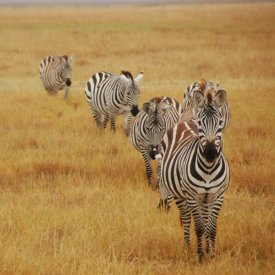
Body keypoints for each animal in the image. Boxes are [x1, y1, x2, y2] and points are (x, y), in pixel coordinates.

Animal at [161, 88, 232, 264]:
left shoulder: (218, 196)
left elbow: (211, 228)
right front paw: (200, 257)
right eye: (201, 124)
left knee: (205, 219)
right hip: (181, 195)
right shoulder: (192, 196)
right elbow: (199, 227)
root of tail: (187, 121)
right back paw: (188, 249)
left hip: (205, 198)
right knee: (187, 219)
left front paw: (211, 255)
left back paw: (206, 248)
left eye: (220, 123)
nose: (210, 153)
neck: (208, 169)